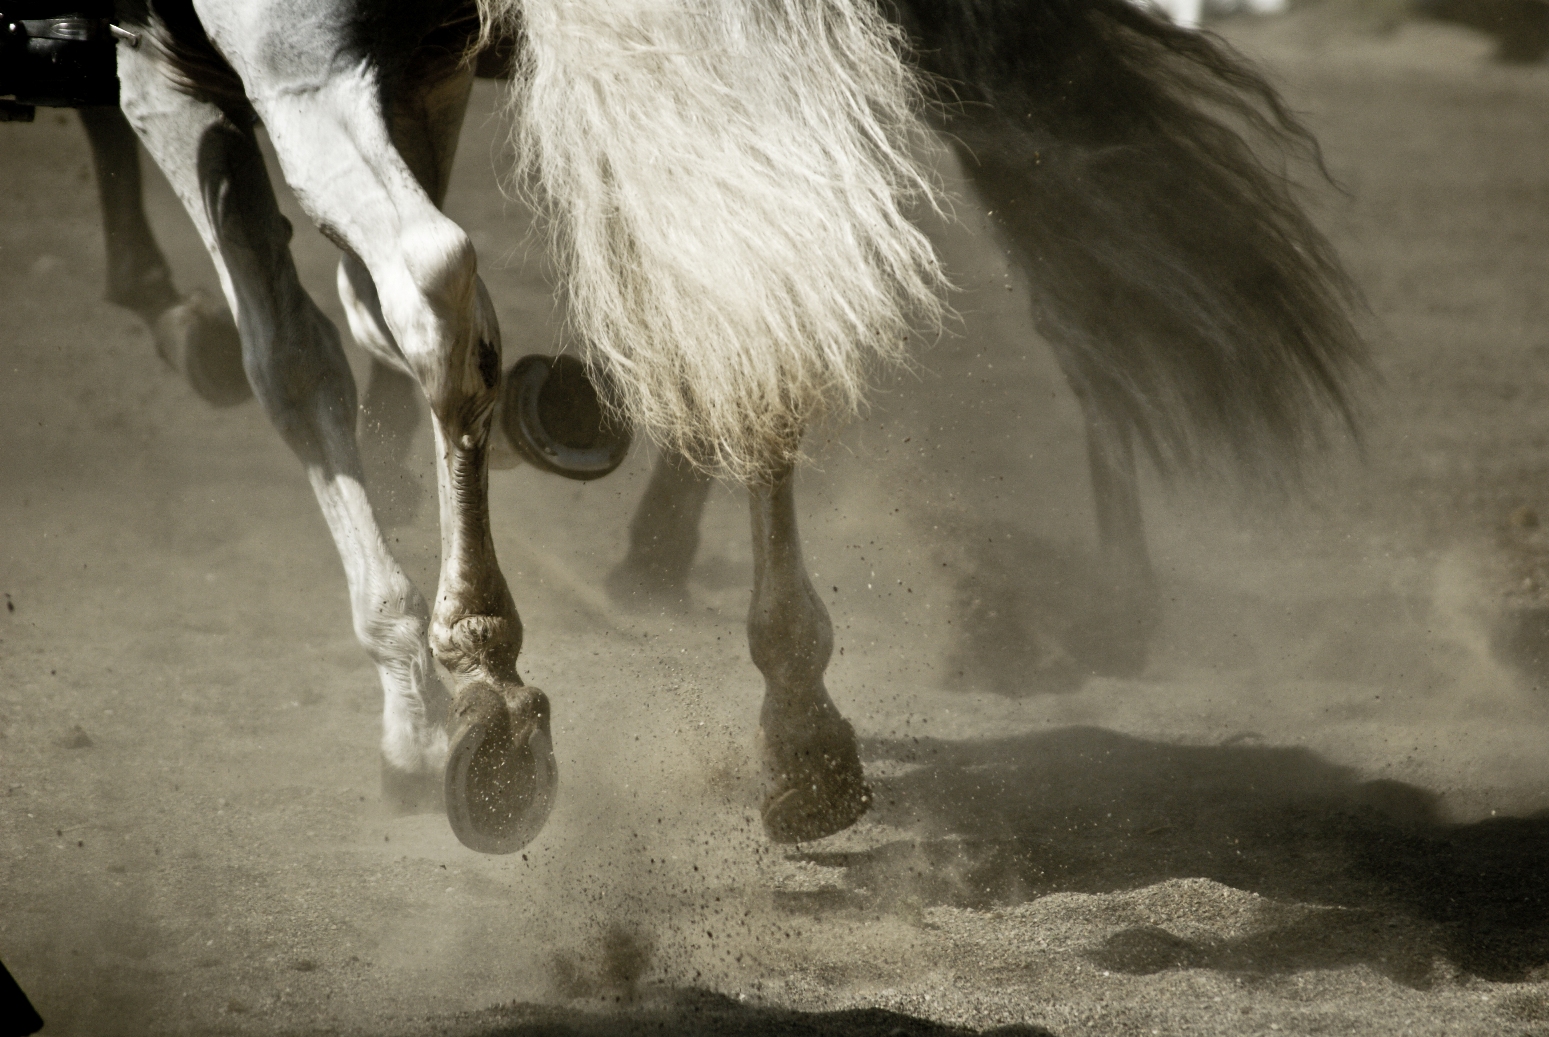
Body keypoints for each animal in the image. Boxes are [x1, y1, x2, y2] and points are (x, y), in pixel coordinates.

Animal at [44, 0, 1362, 855]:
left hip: (301, 68)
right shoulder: (417, 71)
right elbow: (358, 320)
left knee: (435, 281)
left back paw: (493, 686)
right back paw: (802, 723)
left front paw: (413, 705)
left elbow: (300, 357)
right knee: (751, 287)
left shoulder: (195, 79)